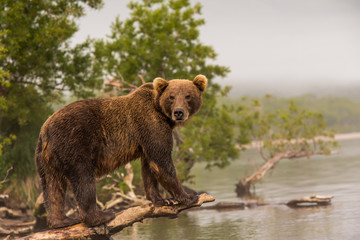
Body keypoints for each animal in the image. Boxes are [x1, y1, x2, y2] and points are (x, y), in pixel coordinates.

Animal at [35, 74, 208, 228]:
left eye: (188, 96)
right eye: (171, 97)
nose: (179, 112)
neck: (161, 113)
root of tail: (45, 130)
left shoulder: (146, 138)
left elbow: (150, 166)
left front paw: (161, 199)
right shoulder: (151, 123)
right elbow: (162, 162)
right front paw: (189, 197)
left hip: (45, 158)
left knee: (52, 185)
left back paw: (62, 221)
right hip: (76, 142)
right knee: (83, 179)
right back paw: (101, 216)